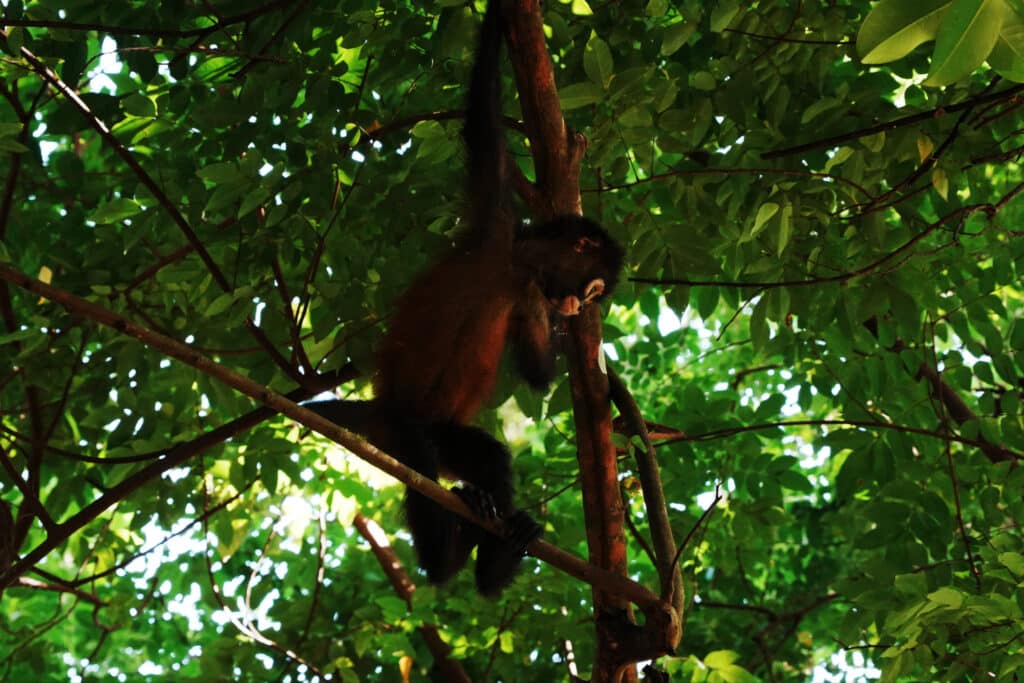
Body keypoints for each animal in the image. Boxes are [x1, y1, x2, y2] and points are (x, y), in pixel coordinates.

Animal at [307, 0, 623, 597]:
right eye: (594, 287)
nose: (579, 307)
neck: (513, 268)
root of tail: (377, 413)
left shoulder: (526, 295)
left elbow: (536, 374)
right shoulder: (493, 219)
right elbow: (482, 126)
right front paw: (501, 17)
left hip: (451, 436)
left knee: (491, 459)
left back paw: (493, 552)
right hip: (404, 427)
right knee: (419, 465)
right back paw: (444, 563)